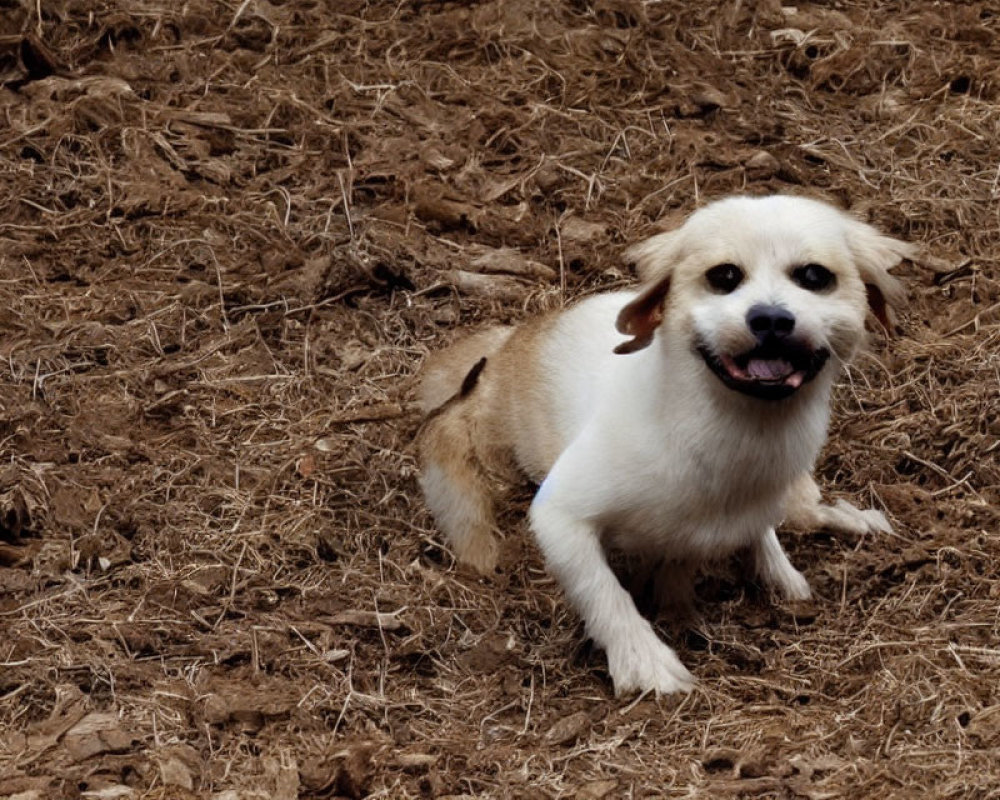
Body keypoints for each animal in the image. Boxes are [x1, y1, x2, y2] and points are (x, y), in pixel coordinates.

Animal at [416, 194, 916, 692]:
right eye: (724, 276)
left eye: (814, 276)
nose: (771, 319)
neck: (735, 441)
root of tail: (507, 344)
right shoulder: (559, 515)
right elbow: (606, 593)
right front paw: (648, 664)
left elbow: (748, 542)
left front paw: (781, 578)